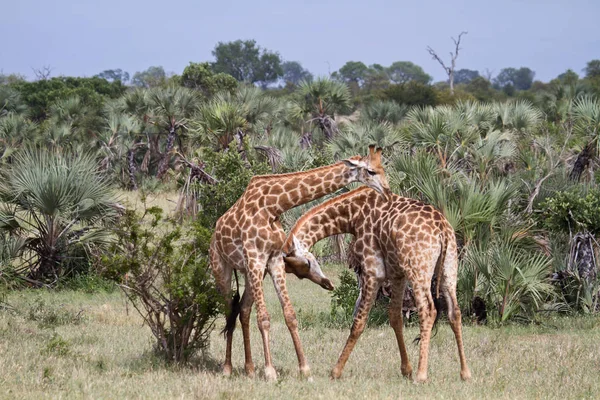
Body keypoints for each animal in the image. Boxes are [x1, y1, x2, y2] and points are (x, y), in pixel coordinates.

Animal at [209, 145, 392, 380]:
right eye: (370, 171)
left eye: (383, 168)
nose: (387, 191)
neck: (273, 206)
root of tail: (214, 234)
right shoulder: (256, 258)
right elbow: (264, 318)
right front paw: (270, 372)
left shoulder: (273, 261)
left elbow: (290, 315)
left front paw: (304, 369)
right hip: (221, 269)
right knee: (228, 311)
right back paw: (227, 368)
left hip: (251, 274)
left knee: (243, 310)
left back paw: (249, 368)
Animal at [284, 186, 472, 382]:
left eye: (305, 266)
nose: (328, 285)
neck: (352, 215)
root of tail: (442, 229)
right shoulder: (397, 275)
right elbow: (395, 317)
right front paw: (406, 370)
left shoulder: (373, 270)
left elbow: (358, 322)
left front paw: (336, 371)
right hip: (449, 267)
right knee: (455, 312)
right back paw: (465, 373)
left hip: (419, 270)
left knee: (428, 310)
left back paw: (421, 375)